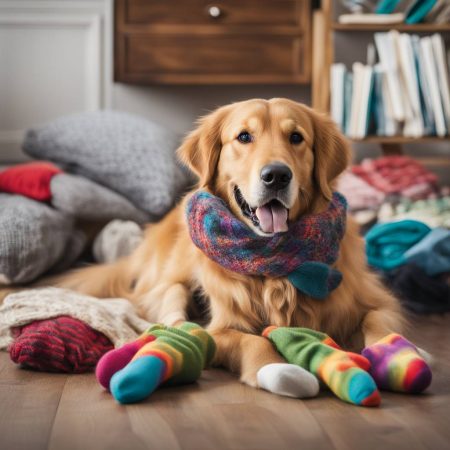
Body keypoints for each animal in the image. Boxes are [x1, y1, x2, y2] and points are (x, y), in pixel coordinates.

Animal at [2, 98, 404, 390]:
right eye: (243, 137)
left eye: (296, 138)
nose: (276, 175)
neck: (274, 261)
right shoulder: (222, 327)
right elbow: (251, 340)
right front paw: (277, 370)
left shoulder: (372, 299)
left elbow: (382, 323)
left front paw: (396, 354)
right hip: (168, 282)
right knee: (169, 309)